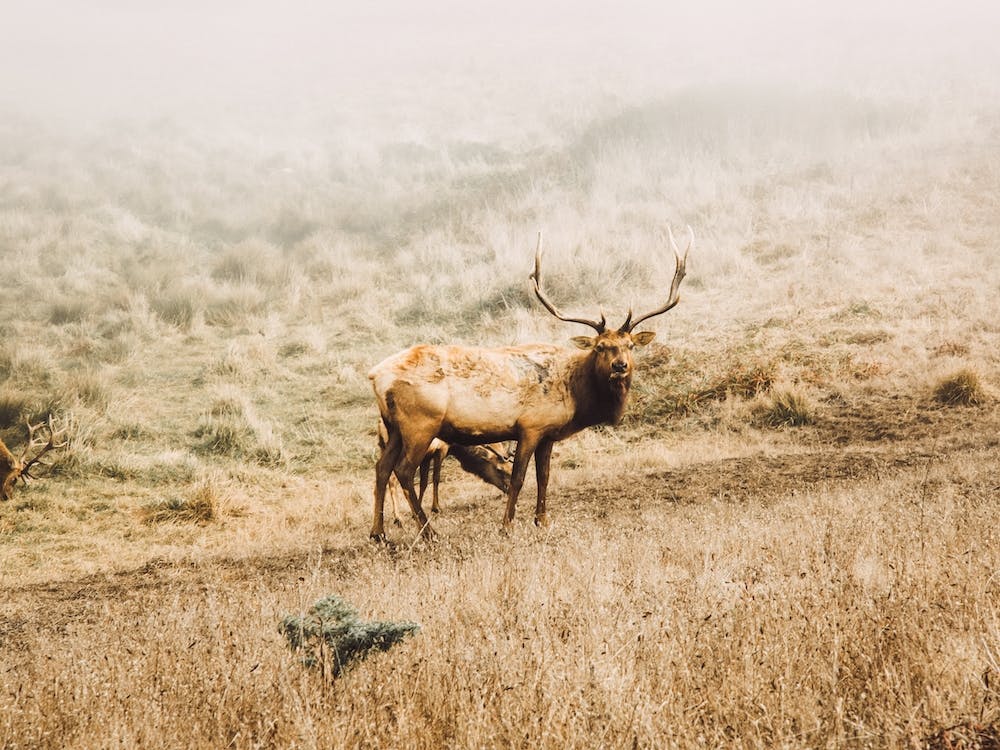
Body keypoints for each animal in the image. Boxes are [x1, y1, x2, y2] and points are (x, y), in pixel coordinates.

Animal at [377, 418, 512, 524]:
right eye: (499, 469)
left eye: (511, 468)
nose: (507, 489)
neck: (455, 445)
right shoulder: (441, 449)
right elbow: (436, 478)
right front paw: (436, 508)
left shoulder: (427, 457)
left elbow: (423, 483)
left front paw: (417, 511)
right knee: (392, 480)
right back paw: (398, 517)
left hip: (383, 448)